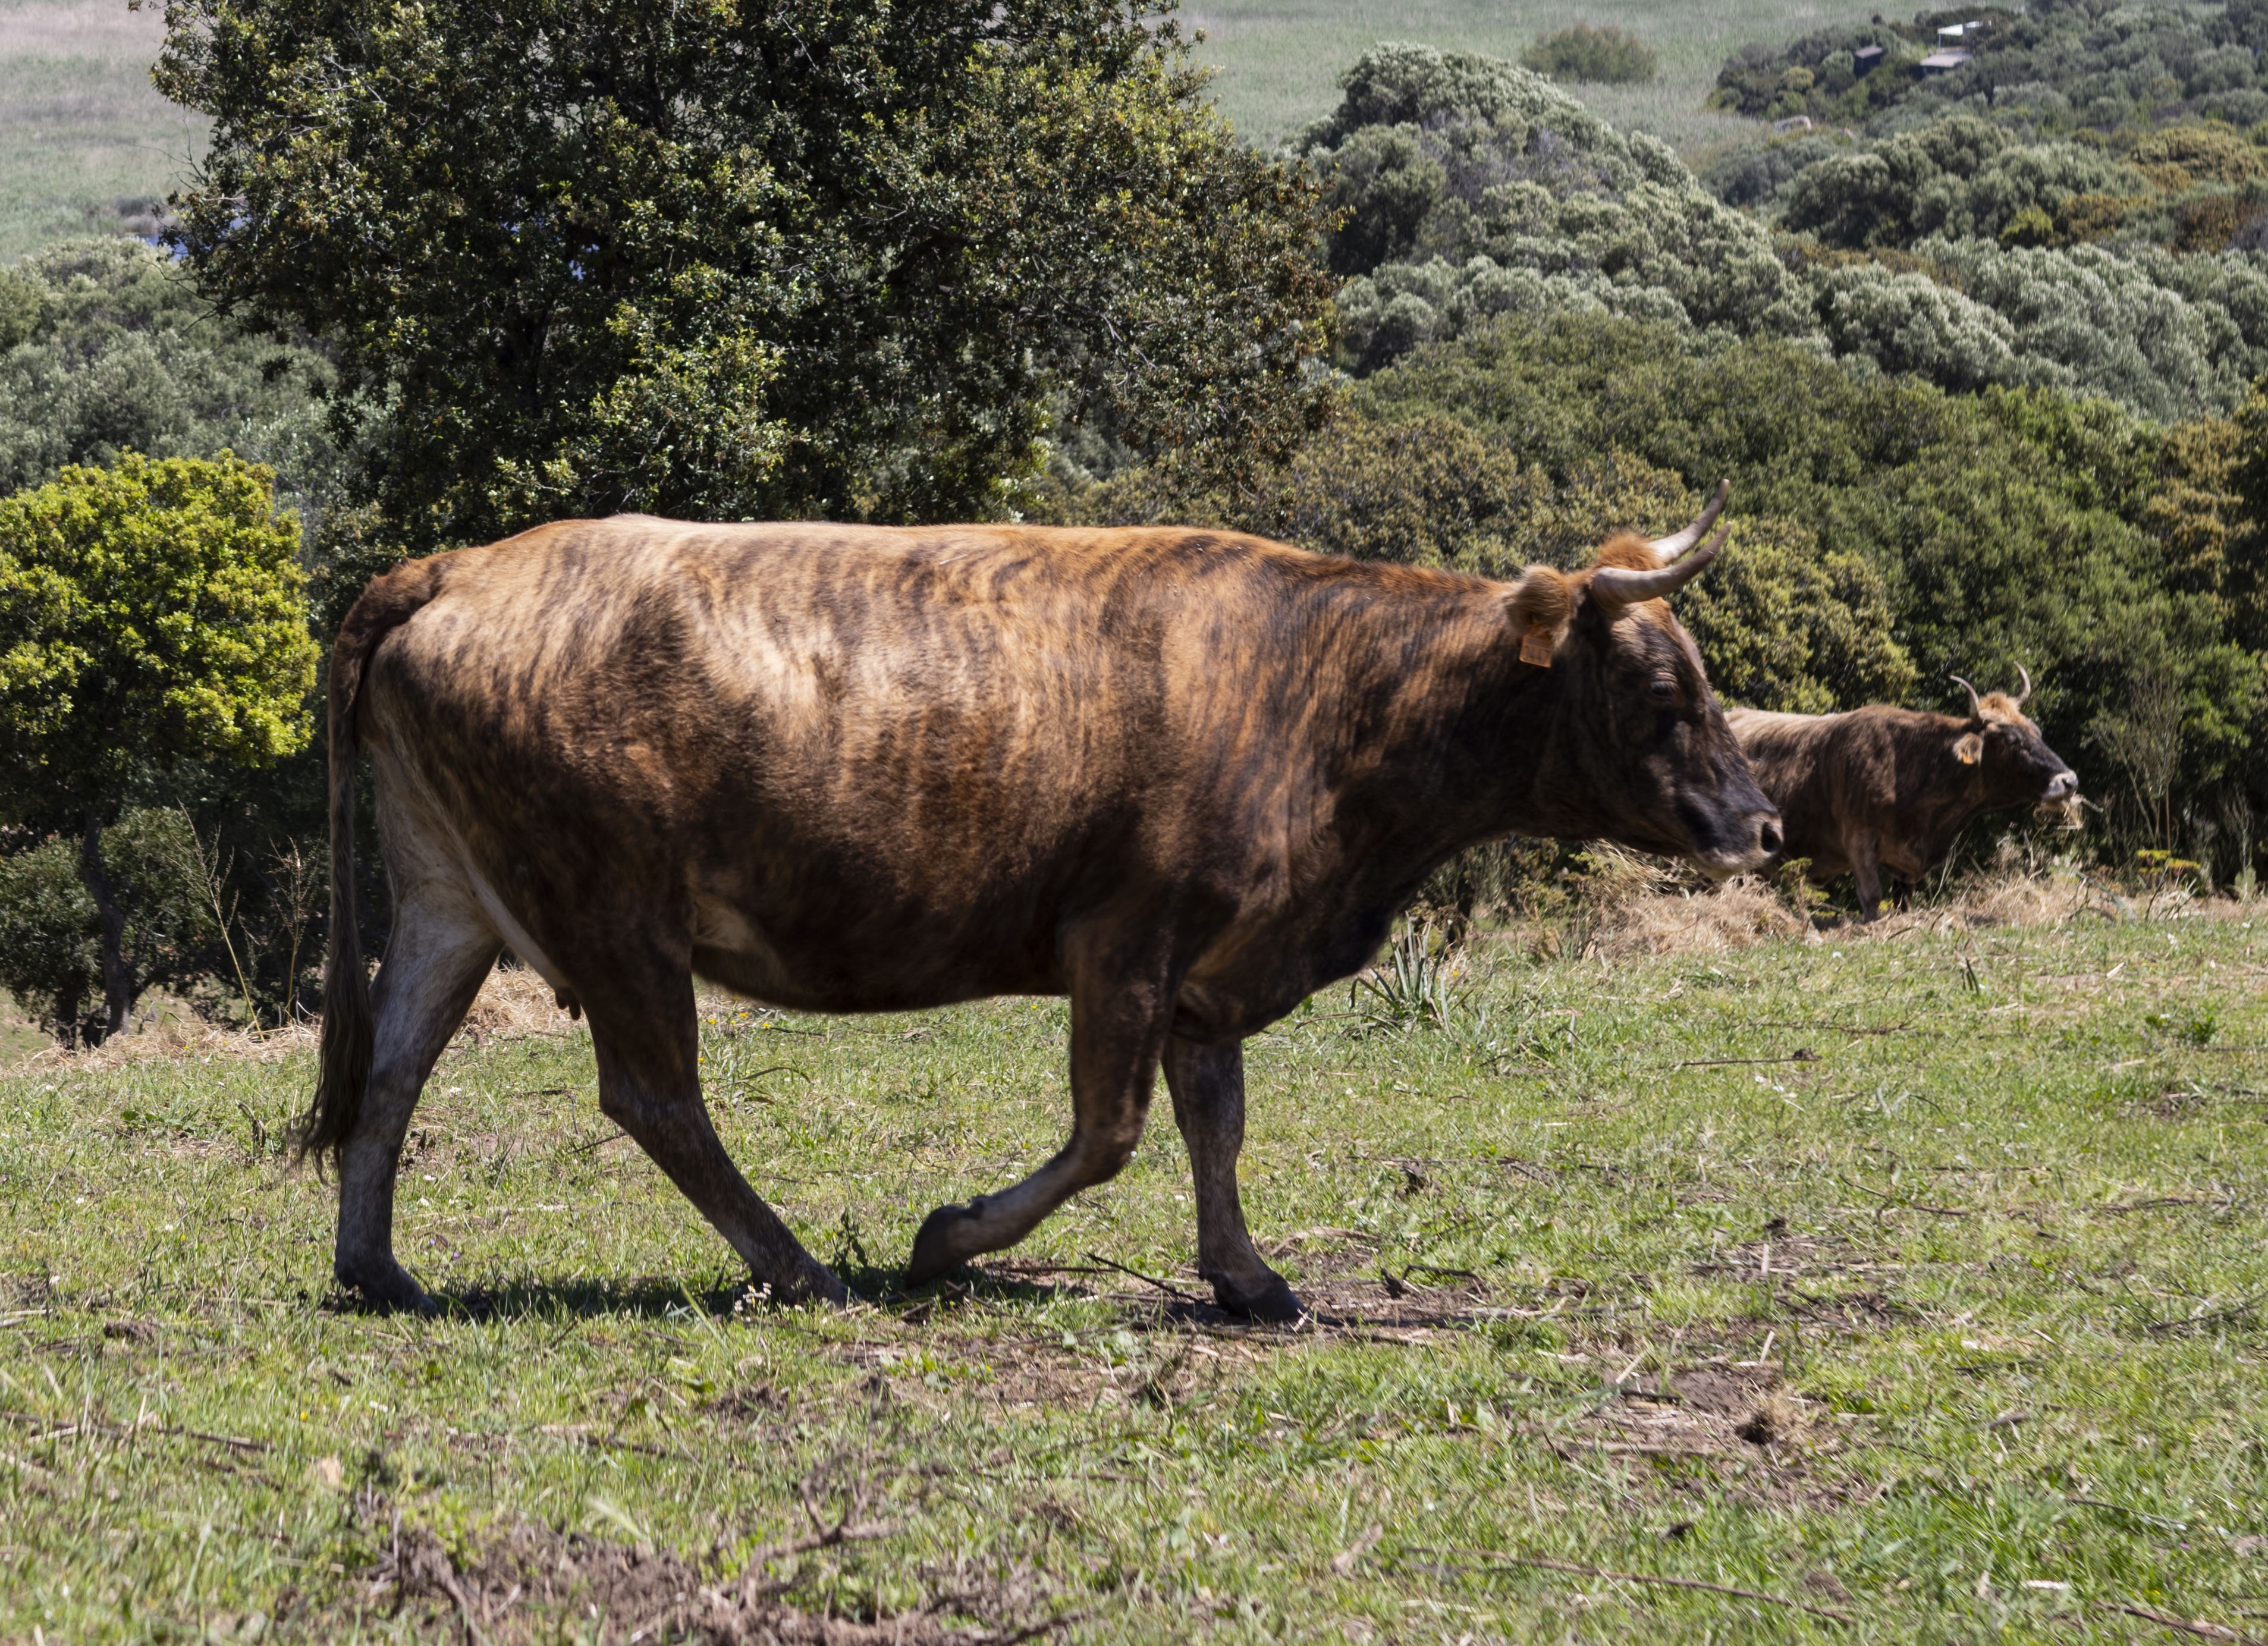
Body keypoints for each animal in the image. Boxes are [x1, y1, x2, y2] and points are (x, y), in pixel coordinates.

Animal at [303, 485, 1781, 1321]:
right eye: (1662, 691)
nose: (1761, 824)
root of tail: (458, 566)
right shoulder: (1126, 937)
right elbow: (1109, 1132)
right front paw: (946, 1240)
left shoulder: (1208, 965)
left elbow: (1214, 1123)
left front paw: (1246, 1278)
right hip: (612, 911)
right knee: (656, 1099)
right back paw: (802, 1270)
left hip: (447, 895)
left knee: (392, 1067)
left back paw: (377, 1269)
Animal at [1726, 670, 2078, 918]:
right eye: (2012, 741)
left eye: (2037, 732)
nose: (2070, 781)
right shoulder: (1859, 840)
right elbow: (1872, 899)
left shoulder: (1907, 865)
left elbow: (1902, 904)